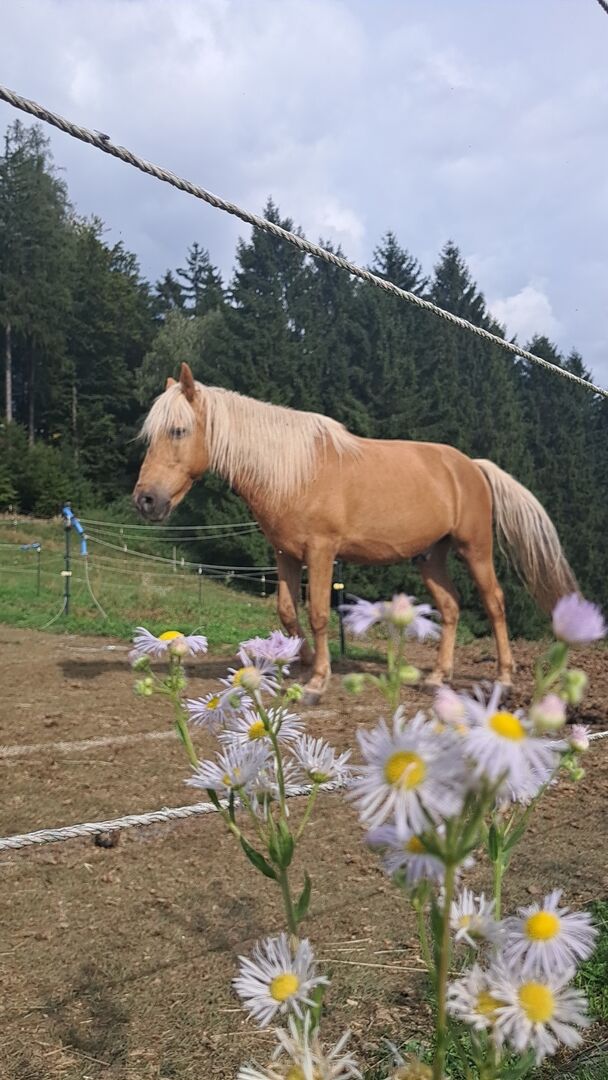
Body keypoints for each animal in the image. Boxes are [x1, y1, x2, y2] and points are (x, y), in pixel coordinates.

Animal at [133, 362, 576, 704]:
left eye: (177, 430)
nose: (146, 500)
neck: (295, 470)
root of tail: (471, 466)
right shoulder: (285, 554)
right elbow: (287, 611)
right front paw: (298, 664)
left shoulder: (321, 551)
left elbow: (317, 613)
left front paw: (317, 682)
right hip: (430, 556)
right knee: (450, 608)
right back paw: (438, 677)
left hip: (475, 549)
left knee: (495, 603)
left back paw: (504, 677)